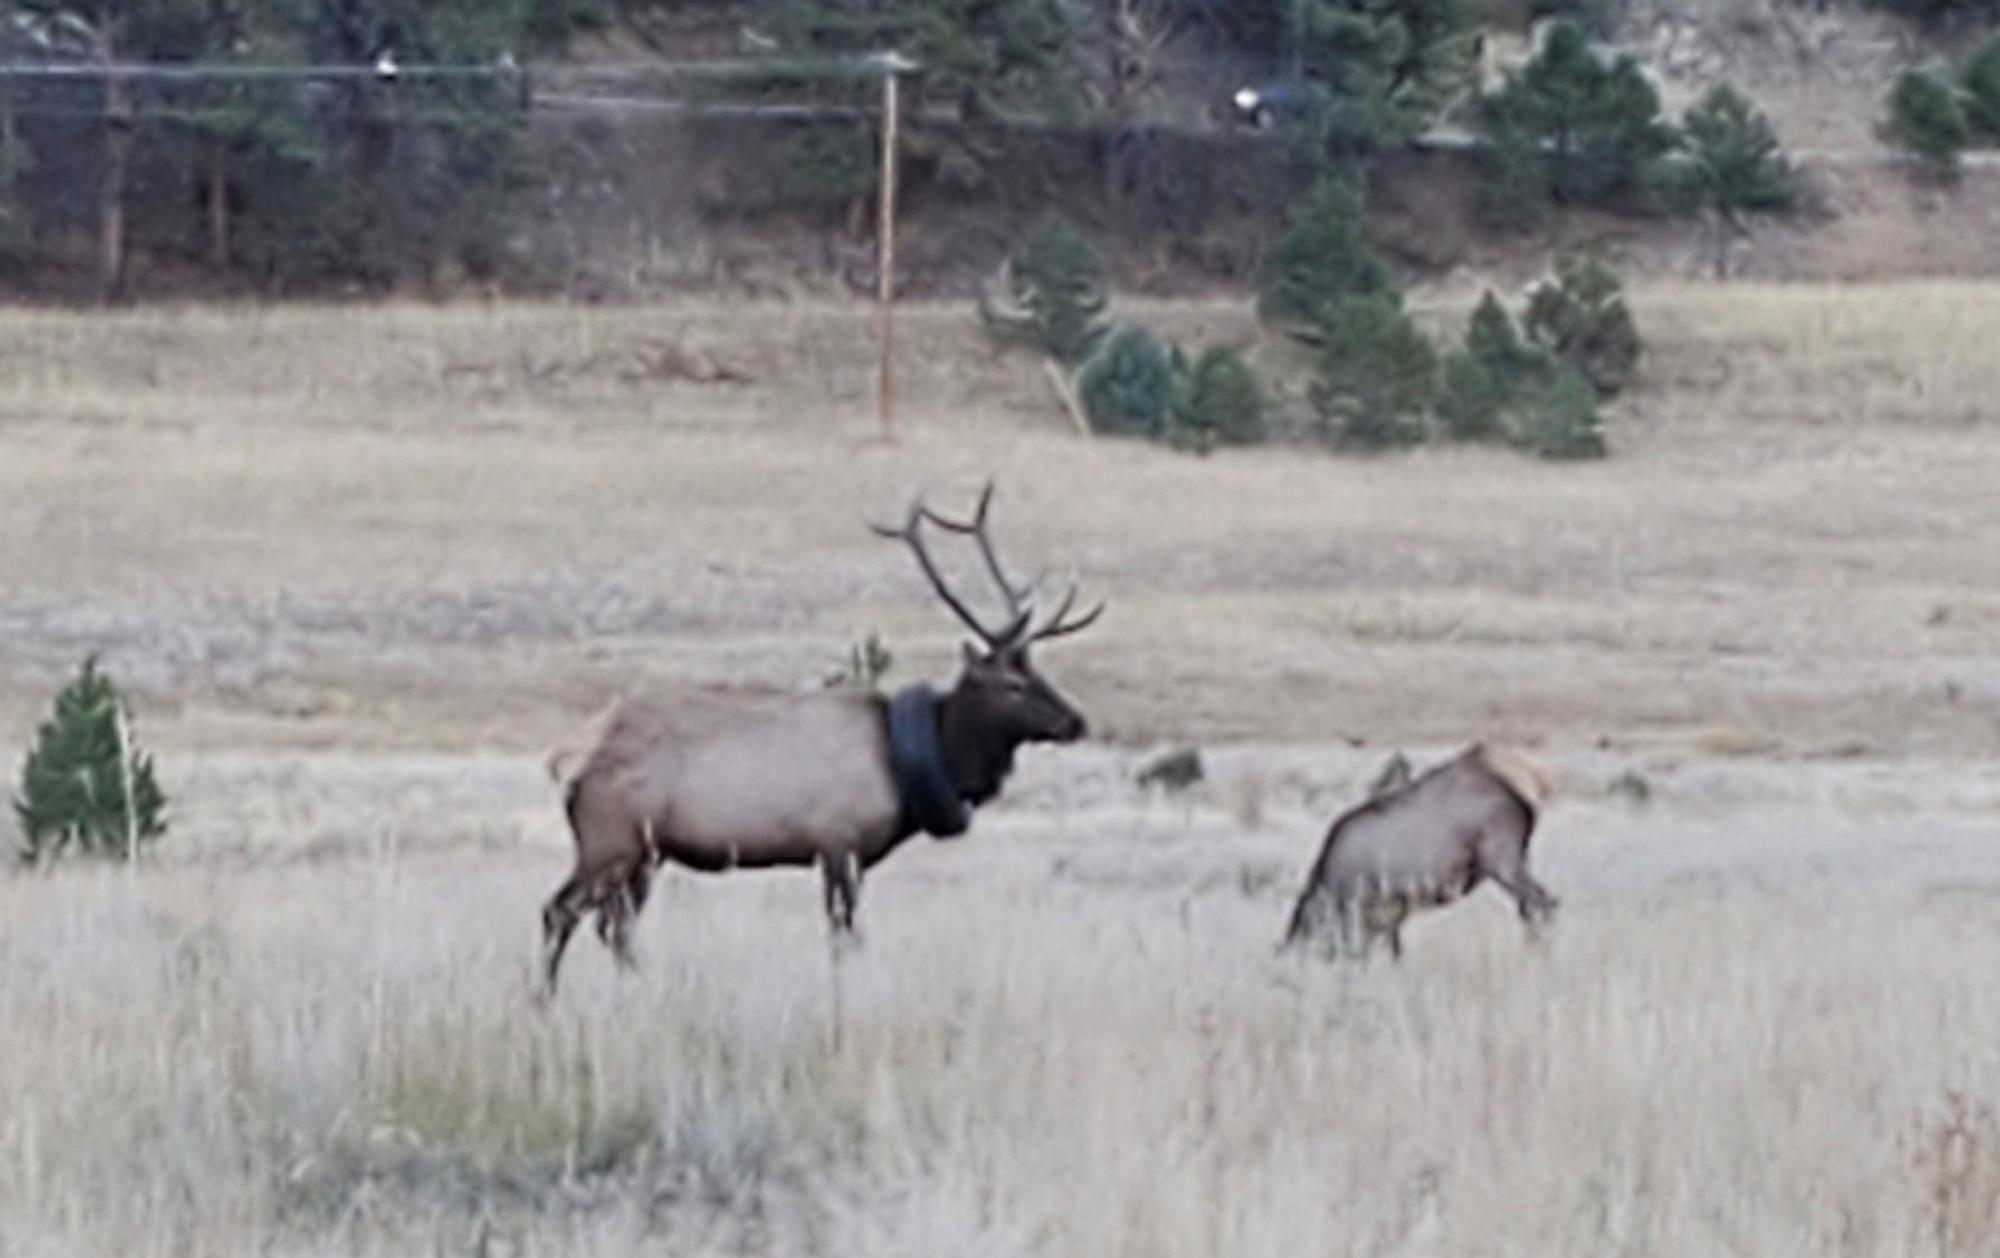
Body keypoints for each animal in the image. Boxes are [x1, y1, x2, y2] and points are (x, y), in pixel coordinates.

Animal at [537, 484, 1103, 996]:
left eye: (1038, 670)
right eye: (1011, 684)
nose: (1076, 721)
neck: (904, 768)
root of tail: (566, 760)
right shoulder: (838, 840)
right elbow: (845, 937)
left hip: (644, 854)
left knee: (614, 928)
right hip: (610, 840)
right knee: (558, 912)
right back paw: (544, 1003)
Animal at [1281, 744, 1559, 961]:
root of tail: (1523, 801)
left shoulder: (1377, 913)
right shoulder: (1389, 917)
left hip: (1501, 861)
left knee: (1543, 903)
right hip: (1518, 858)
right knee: (1533, 908)